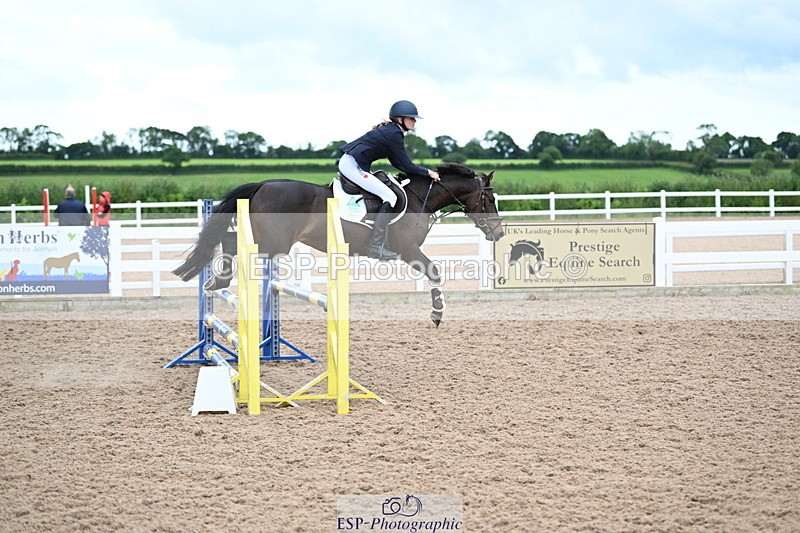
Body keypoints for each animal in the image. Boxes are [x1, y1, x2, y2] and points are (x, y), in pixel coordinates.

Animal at [173, 162, 504, 326]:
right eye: (489, 199)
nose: (498, 233)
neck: (420, 197)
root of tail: (263, 184)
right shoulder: (409, 250)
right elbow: (435, 272)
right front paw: (437, 314)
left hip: (266, 238)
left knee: (228, 239)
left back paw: (215, 281)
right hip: (274, 241)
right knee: (231, 242)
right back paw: (219, 280)